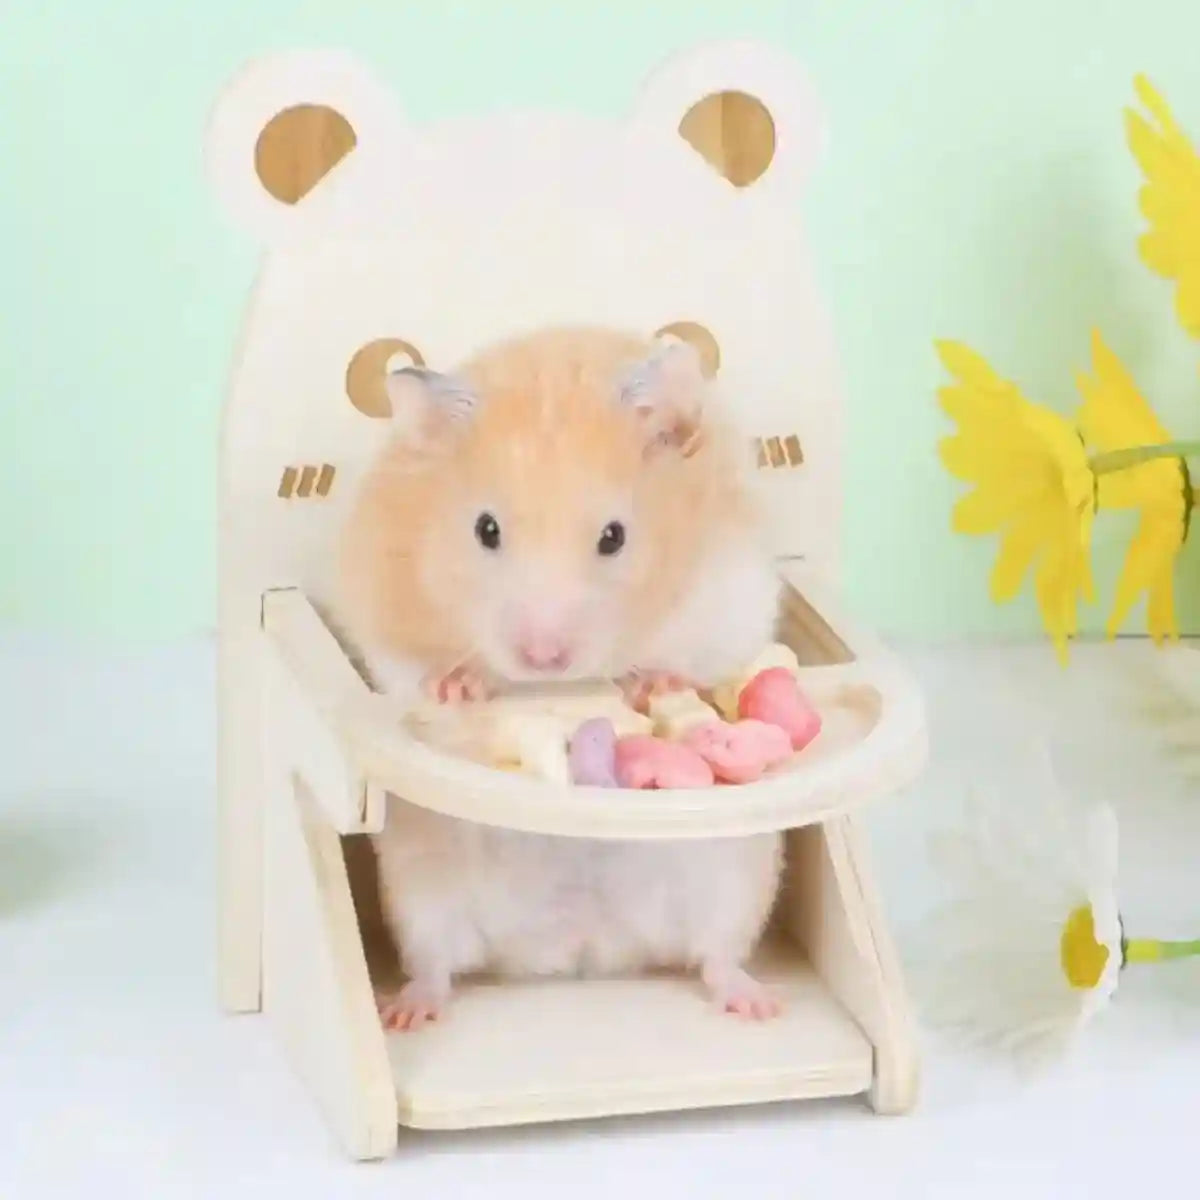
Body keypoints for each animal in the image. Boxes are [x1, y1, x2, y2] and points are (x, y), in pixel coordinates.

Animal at [337, 325, 785, 1030]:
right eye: (485, 529)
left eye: (614, 537)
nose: (543, 658)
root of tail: (581, 949)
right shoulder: (382, 617)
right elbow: (413, 674)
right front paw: (459, 686)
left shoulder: (734, 594)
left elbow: (700, 658)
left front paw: (652, 684)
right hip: (422, 891)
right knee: (436, 967)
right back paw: (404, 1013)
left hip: (733, 876)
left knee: (715, 956)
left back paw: (760, 1005)